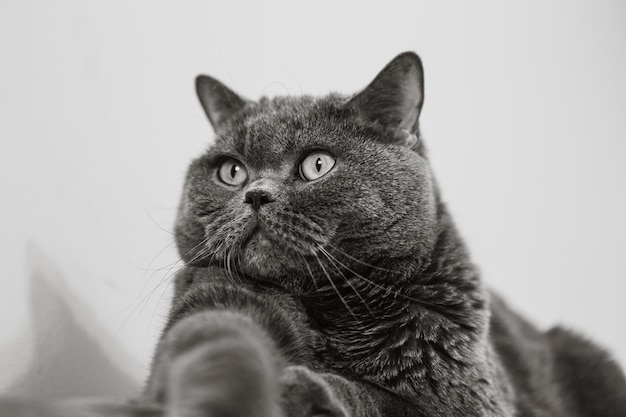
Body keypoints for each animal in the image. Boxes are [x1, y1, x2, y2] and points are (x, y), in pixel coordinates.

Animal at [1, 52, 624, 416]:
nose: (255, 194)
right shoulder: (209, 304)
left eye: (316, 165)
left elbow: (391, 404)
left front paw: (309, 387)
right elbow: (217, 351)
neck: (331, 306)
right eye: (231, 171)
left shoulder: (475, 402)